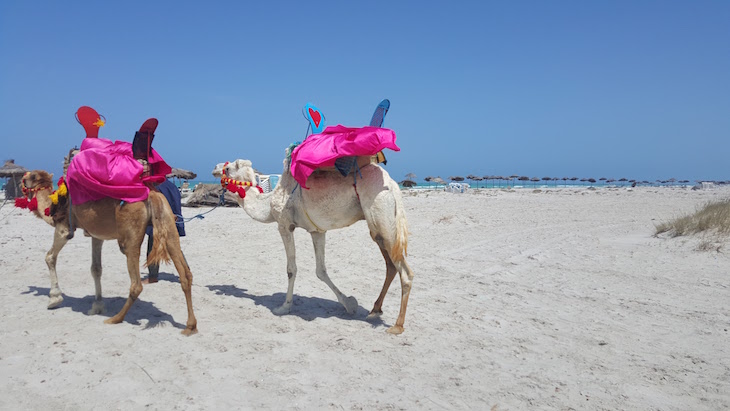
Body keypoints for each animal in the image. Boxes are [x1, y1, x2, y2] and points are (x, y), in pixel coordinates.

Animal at [19, 169, 196, 336]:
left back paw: (116, 318)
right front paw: (97, 305)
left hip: (130, 237)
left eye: (32, 176)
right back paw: (190, 326)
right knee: (185, 274)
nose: (23, 179)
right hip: (168, 224)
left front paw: (54, 299)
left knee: (136, 284)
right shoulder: (97, 235)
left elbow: (49, 257)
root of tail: (152, 195)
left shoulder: (64, 228)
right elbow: (96, 269)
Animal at [212, 155, 416, 334]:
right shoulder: (317, 231)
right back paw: (374, 311)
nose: (214, 168)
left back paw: (397, 326)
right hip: (380, 227)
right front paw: (350, 303)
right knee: (391, 266)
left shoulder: (284, 225)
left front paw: (284, 307)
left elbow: (291, 269)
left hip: (380, 215)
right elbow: (321, 270)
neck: (268, 202)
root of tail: (392, 184)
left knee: (405, 272)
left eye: (228, 168)